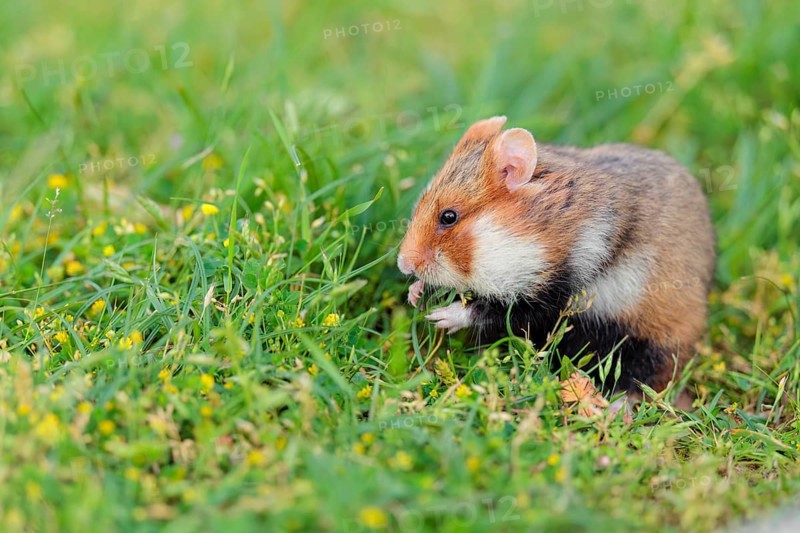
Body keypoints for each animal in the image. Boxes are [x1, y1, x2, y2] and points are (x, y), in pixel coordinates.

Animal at [397, 116, 716, 398]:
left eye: (448, 217)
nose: (402, 264)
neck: (542, 231)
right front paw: (415, 295)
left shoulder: (555, 292)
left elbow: (493, 310)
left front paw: (439, 317)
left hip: (654, 338)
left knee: (644, 379)